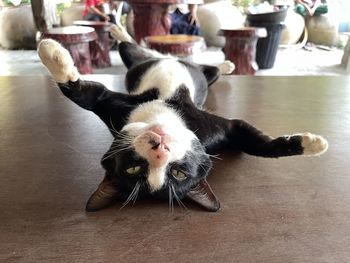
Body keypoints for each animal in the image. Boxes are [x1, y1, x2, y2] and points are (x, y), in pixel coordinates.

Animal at [37, 38, 326, 212]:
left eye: (178, 173)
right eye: (134, 169)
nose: (159, 149)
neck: (162, 114)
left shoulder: (217, 129)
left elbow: (256, 143)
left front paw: (311, 144)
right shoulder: (117, 112)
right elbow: (81, 93)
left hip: (185, 71)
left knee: (201, 67)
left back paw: (226, 63)